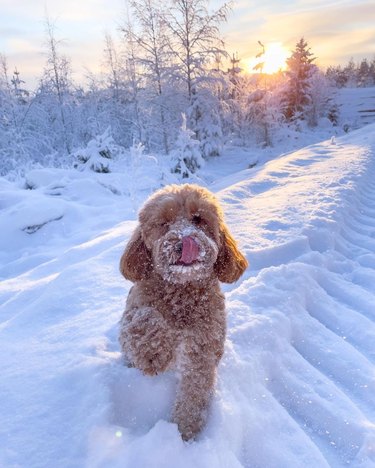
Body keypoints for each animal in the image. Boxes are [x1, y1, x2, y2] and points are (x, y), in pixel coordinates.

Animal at [119, 185, 248, 440]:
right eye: (164, 223)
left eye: (198, 219)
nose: (185, 239)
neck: (181, 291)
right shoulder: (134, 311)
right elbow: (144, 319)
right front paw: (153, 354)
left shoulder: (203, 345)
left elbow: (194, 390)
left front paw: (185, 431)